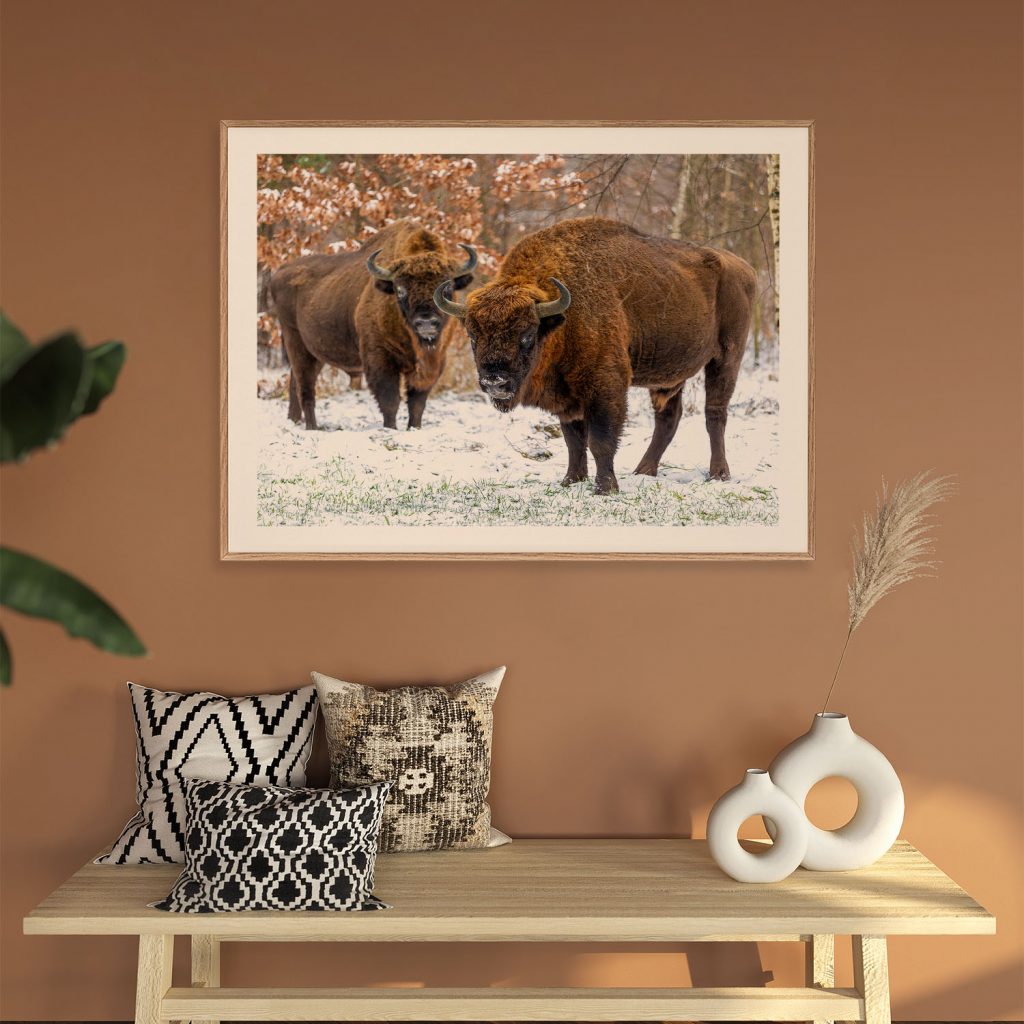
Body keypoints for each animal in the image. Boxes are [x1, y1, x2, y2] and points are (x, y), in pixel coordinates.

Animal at [270, 219, 476, 430]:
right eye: (400, 289)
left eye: (448, 287)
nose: (426, 322)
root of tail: (279, 273)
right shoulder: (380, 360)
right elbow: (390, 401)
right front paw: (390, 428)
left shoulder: (434, 363)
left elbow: (417, 403)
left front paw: (414, 428)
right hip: (295, 342)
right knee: (306, 388)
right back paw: (312, 427)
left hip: (315, 352)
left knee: (295, 383)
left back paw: (294, 420)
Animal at [434, 216, 756, 494]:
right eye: (473, 336)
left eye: (527, 335)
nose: (495, 383)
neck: (562, 318)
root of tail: (745, 269)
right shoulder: (566, 398)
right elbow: (573, 441)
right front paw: (571, 481)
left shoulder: (605, 386)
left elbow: (599, 440)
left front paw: (605, 488)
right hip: (669, 377)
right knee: (668, 418)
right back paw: (644, 471)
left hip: (727, 357)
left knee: (714, 414)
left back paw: (718, 474)